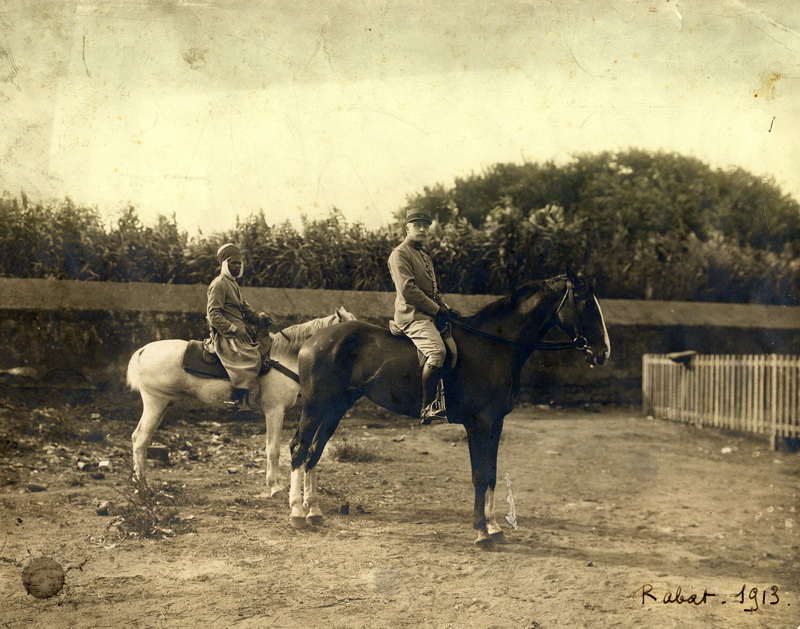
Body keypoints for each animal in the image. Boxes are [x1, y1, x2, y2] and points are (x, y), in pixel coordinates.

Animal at [126, 306, 354, 500]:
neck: (283, 357)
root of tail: (143, 351)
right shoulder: (274, 411)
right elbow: (273, 449)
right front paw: (275, 487)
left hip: (163, 405)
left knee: (142, 439)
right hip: (156, 402)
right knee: (140, 439)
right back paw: (142, 487)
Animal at [290, 268, 608, 548]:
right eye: (586, 303)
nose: (603, 353)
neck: (494, 345)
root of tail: (315, 340)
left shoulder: (496, 423)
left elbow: (491, 473)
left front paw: (494, 528)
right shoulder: (479, 422)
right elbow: (480, 475)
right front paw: (481, 532)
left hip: (335, 408)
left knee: (314, 451)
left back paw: (314, 512)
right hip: (316, 407)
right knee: (299, 449)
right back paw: (297, 515)